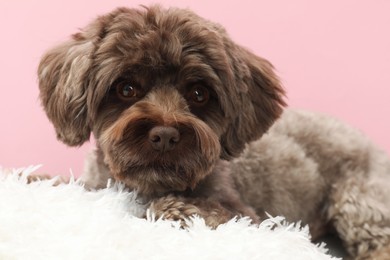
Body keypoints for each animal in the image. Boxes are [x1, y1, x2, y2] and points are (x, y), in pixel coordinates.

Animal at [37, 5, 390, 258]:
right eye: (126, 88)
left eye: (198, 93)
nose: (164, 135)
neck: (150, 186)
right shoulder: (97, 185)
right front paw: (36, 178)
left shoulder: (246, 216)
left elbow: (176, 208)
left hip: (357, 196)